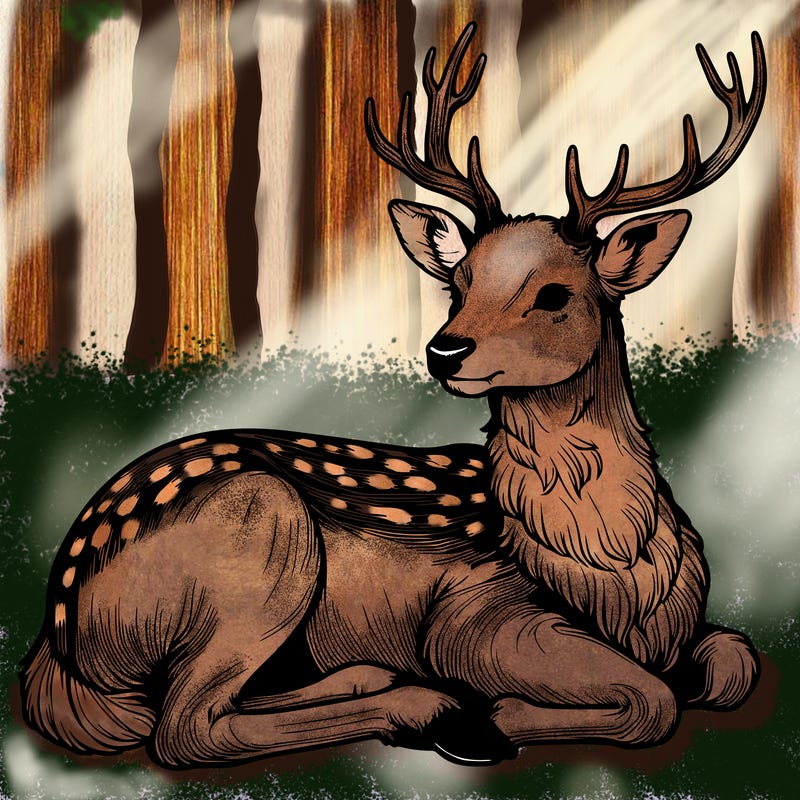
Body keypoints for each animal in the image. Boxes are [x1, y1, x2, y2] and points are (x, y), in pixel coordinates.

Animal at [20, 23, 766, 769]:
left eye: (555, 293)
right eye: (459, 282)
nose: (444, 349)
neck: (617, 575)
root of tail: (55, 636)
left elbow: (734, 657)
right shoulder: (474, 612)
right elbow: (652, 698)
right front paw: (495, 716)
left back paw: (376, 677)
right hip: (262, 540)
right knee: (183, 726)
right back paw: (432, 710)